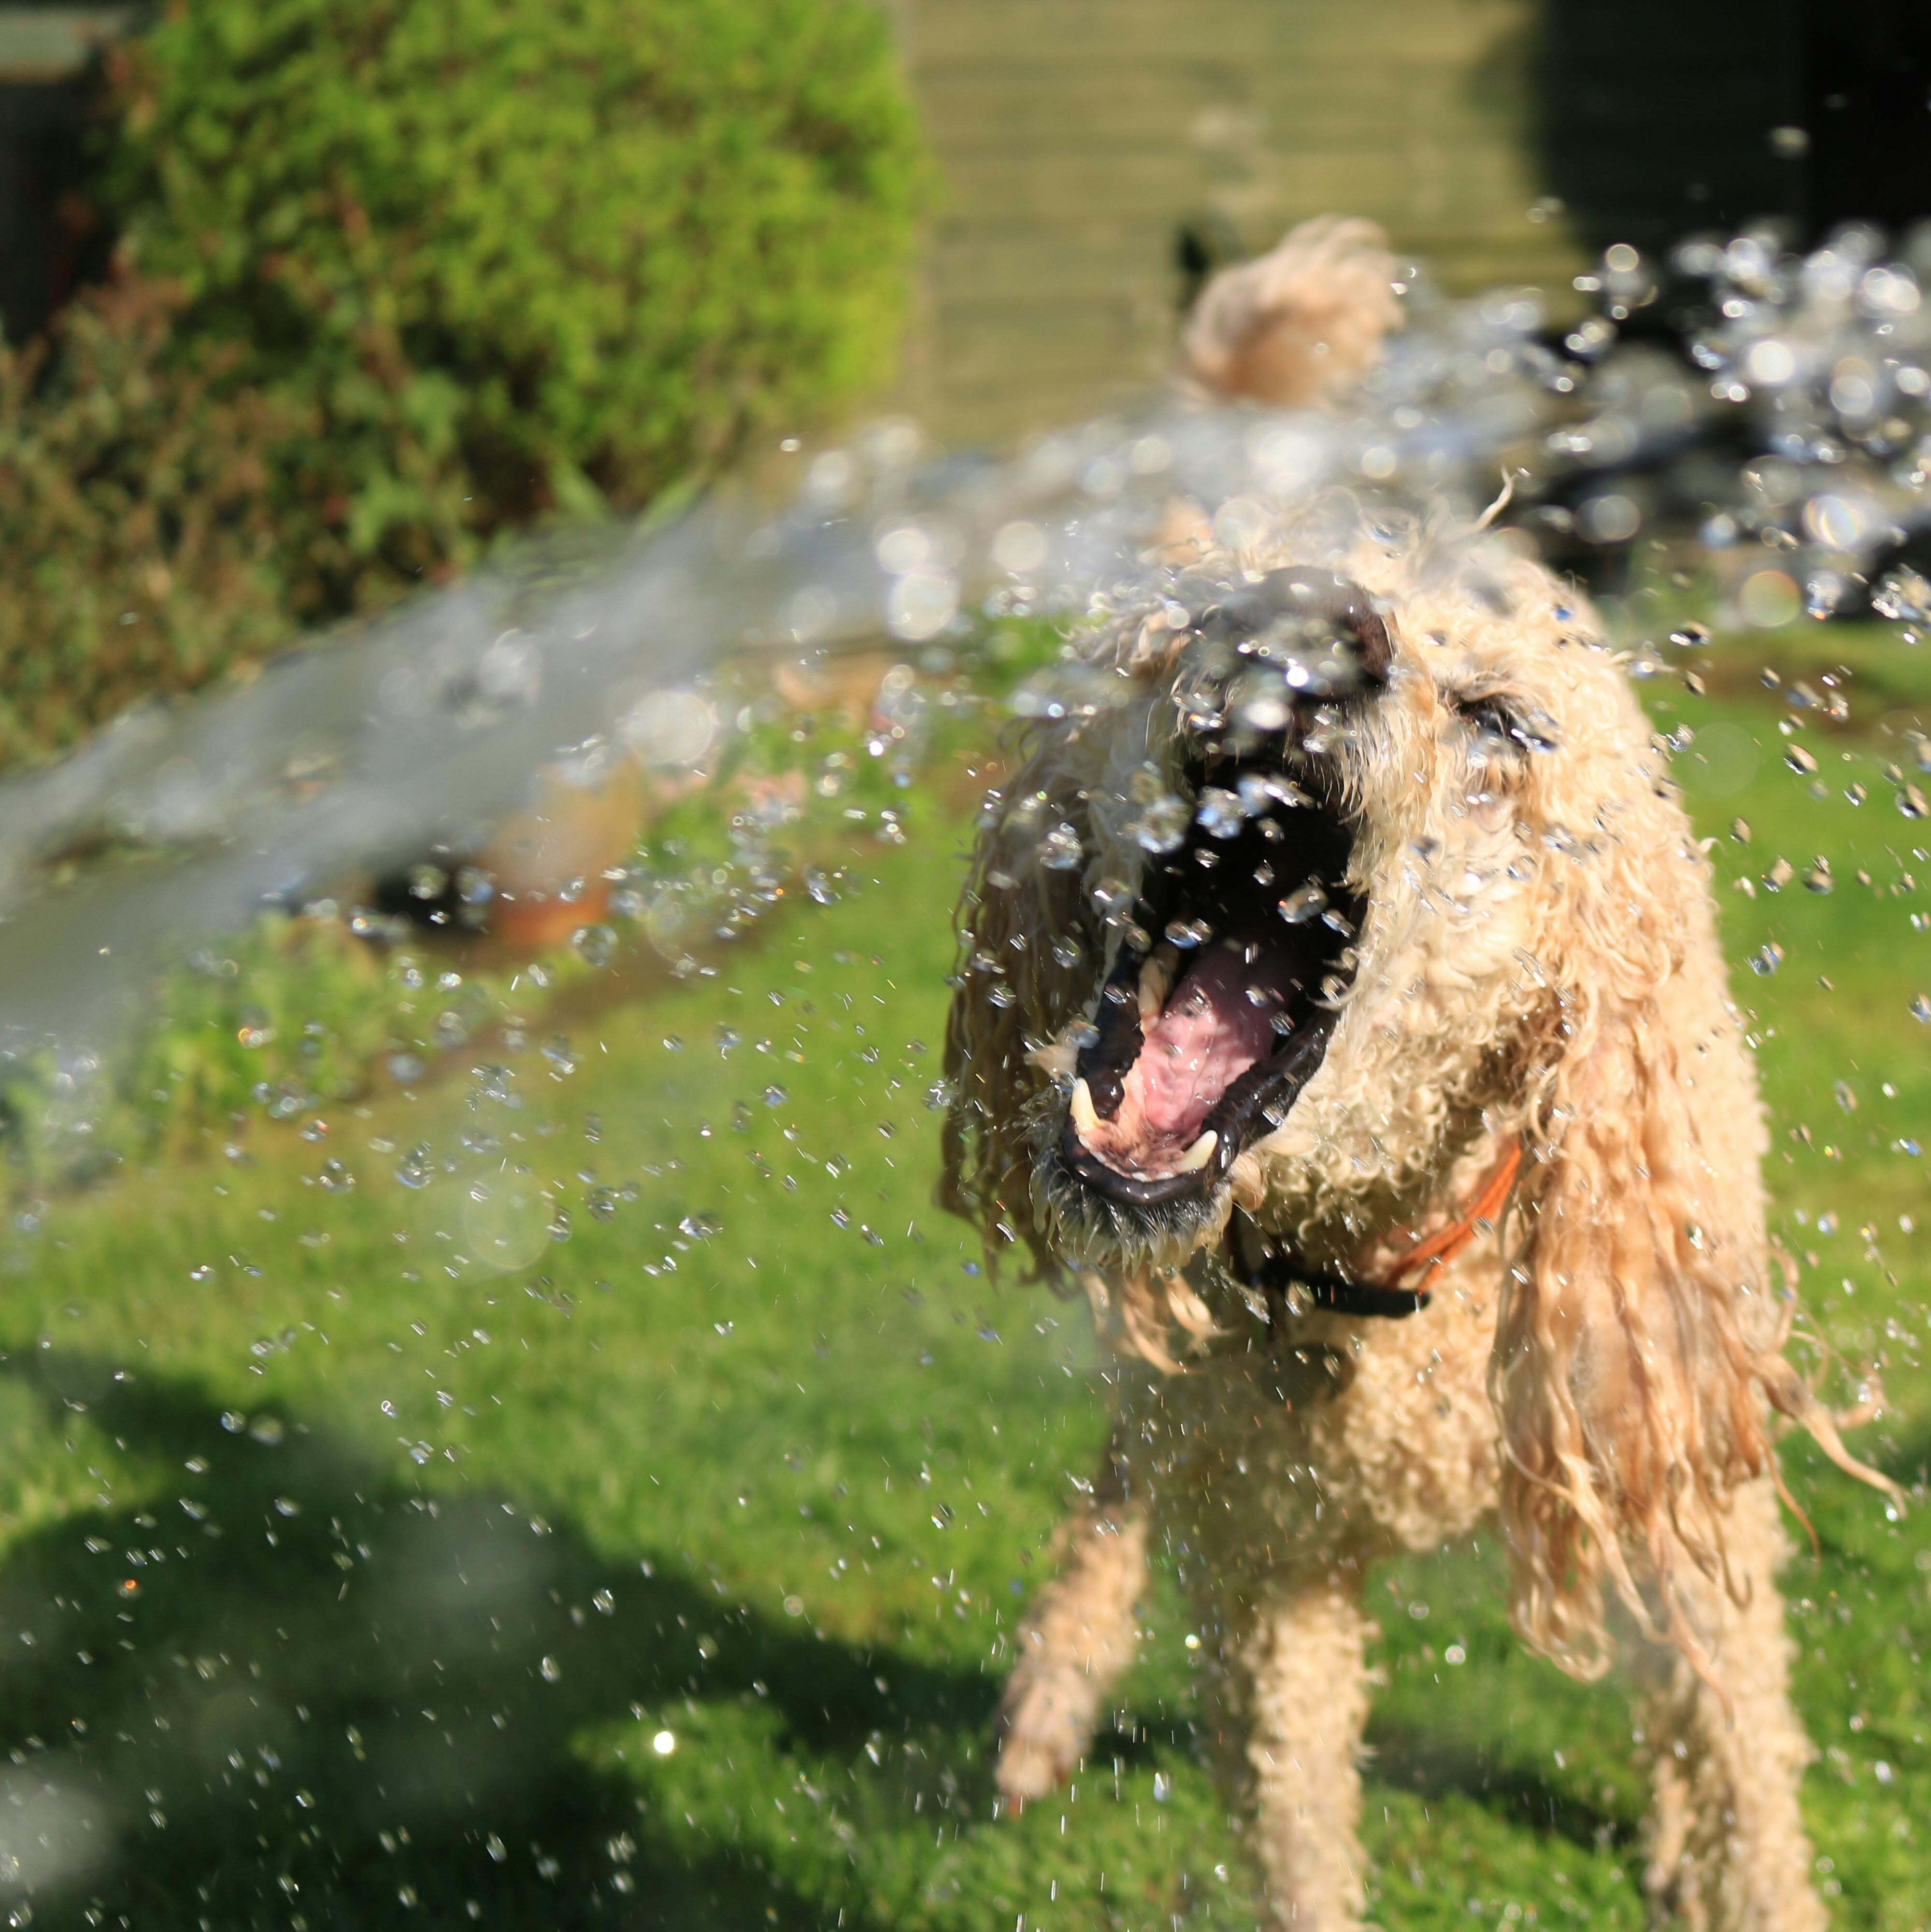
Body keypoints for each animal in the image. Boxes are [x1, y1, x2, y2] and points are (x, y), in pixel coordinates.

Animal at [943, 219, 1894, 1932]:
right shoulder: (1267, 1582)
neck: (1382, 1264)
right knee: (1126, 1463)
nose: (1301, 624)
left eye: (1501, 722)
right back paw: (1055, 1683)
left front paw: (1711, 1845)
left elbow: (1740, 1777)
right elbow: (1296, 1832)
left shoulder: (1681, 1467)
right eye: (1180, 629)